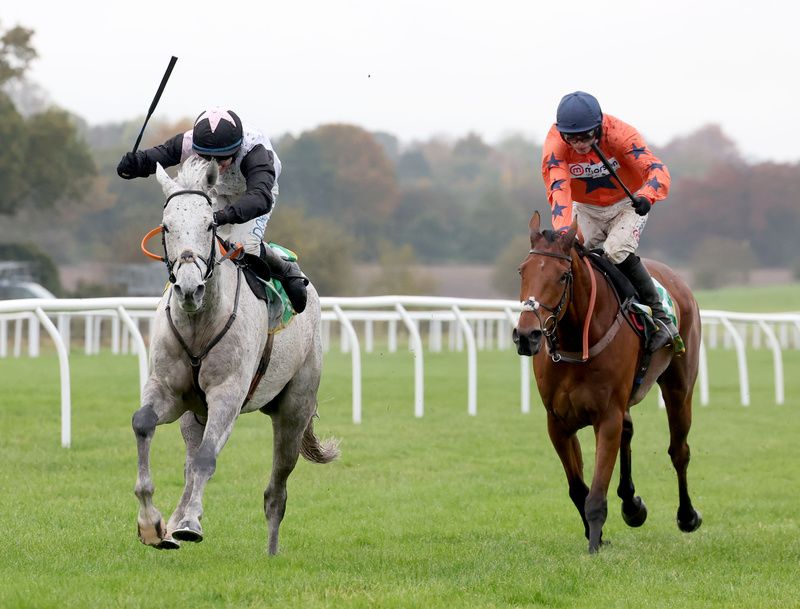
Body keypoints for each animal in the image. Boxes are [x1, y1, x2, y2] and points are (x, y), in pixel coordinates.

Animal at [132, 158, 338, 556]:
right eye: (167, 226)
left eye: (210, 225)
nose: (189, 288)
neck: (199, 321)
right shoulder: (167, 389)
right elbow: (143, 424)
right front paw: (153, 524)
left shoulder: (228, 394)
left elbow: (208, 458)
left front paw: (190, 525)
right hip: (193, 416)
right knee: (190, 462)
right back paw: (174, 523)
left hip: (295, 407)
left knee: (276, 491)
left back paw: (270, 551)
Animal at [512, 211, 700, 552]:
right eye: (523, 270)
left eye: (563, 276)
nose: (526, 335)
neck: (576, 341)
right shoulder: (557, 422)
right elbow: (578, 489)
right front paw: (596, 534)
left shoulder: (606, 417)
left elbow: (597, 493)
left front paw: (594, 546)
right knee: (629, 431)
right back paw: (632, 504)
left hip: (680, 389)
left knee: (679, 451)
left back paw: (687, 515)